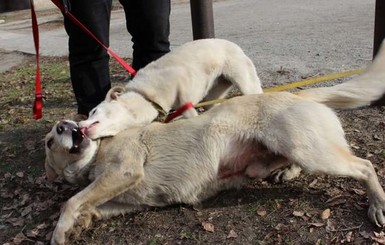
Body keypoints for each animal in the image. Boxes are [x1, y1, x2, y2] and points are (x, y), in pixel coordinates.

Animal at [79, 37, 262, 139]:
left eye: (93, 111)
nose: (79, 127)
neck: (146, 98)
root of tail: (234, 45)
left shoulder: (183, 90)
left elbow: (188, 111)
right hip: (215, 92)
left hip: (246, 83)